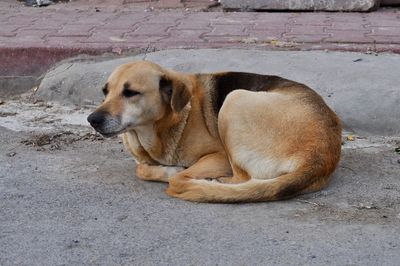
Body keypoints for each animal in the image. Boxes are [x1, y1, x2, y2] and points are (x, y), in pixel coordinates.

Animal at [87, 60, 340, 202]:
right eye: (105, 91)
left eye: (130, 92)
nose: (92, 120)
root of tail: (320, 157)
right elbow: (141, 168)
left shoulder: (219, 157)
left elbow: (157, 171)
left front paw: (175, 170)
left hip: (234, 99)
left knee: (240, 179)